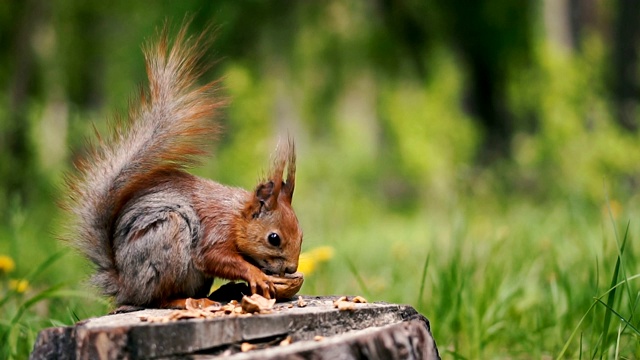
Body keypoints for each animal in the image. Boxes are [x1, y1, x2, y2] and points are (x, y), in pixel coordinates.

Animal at [63, 23, 304, 308]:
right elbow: (214, 257)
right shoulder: (215, 231)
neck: (236, 217)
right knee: (159, 299)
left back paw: (222, 293)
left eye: (301, 234)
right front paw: (256, 275)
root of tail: (126, 285)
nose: (291, 269)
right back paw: (186, 301)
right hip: (168, 237)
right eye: (273, 238)